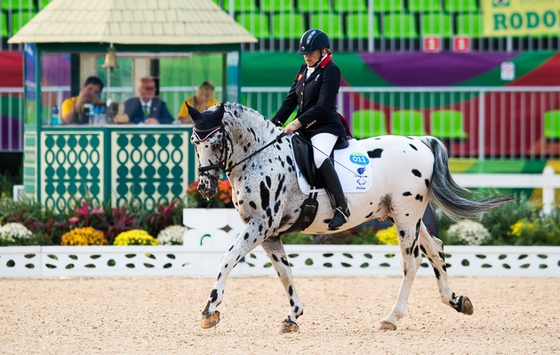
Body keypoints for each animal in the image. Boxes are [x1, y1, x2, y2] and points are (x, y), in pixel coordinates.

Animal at [188, 102, 512, 334]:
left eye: (215, 141)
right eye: (194, 141)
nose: (205, 187)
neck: (260, 157)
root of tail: (421, 141)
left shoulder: (259, 225)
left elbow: (227, 259)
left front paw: (209, 311)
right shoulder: (270, 233)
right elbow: (284, 272)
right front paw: (293, 316)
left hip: (407, 214)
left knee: (412, 261)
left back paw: (391, 318)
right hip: (402, 216)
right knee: (436, 248)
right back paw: (456, 301)